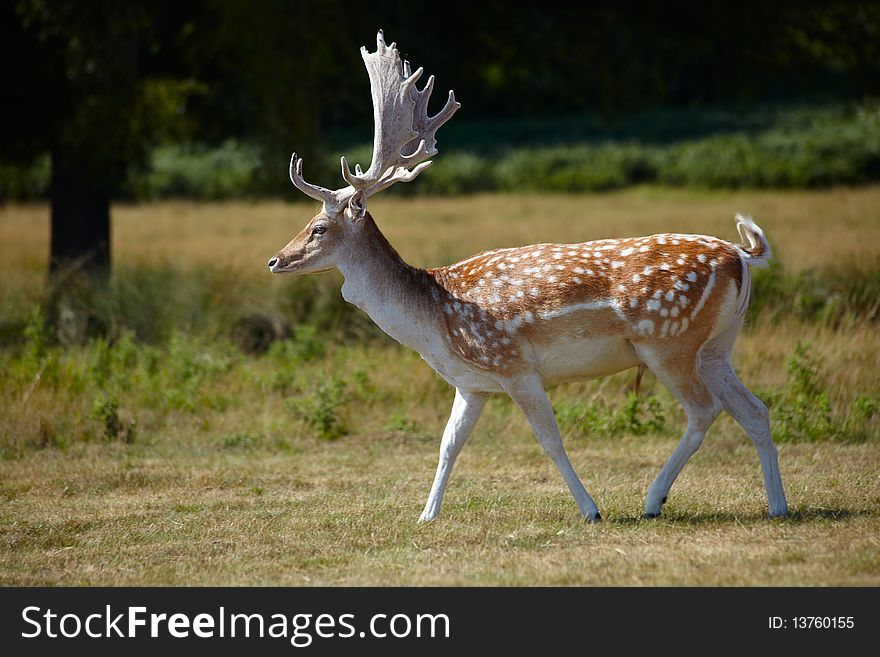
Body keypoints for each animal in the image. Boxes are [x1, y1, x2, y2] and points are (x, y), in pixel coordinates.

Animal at [264, 32, 788, 524]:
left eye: (319, 227)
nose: (275, 261)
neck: (433, 322)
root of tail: (742, 256)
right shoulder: (471, 382)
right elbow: (448, 444)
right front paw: (425, 514)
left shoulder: (515, 365)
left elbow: (550, 440)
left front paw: (590, 509)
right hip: (717, 344)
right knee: (755, 409)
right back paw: (777, 505)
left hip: (667, 339)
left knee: (704, 409)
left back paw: (653, 500)